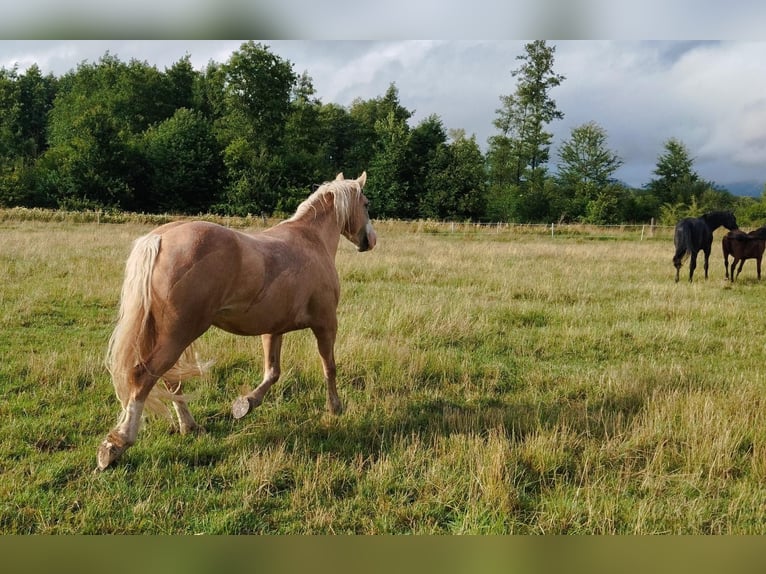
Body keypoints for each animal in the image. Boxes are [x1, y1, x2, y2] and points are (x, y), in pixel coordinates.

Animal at [96, 172, 377, 471]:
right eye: (366, 203)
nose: (370, 240)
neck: (311, 241)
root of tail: (160, 238)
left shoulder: (273, 329)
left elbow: (272, 372)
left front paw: (246, 404)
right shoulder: (326, 324)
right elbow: (329, 367)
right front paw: (335, 408)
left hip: (165, 335)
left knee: (169, 380)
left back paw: (190, 427)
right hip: (178, 334)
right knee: (143, 377)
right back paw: (115, 446)